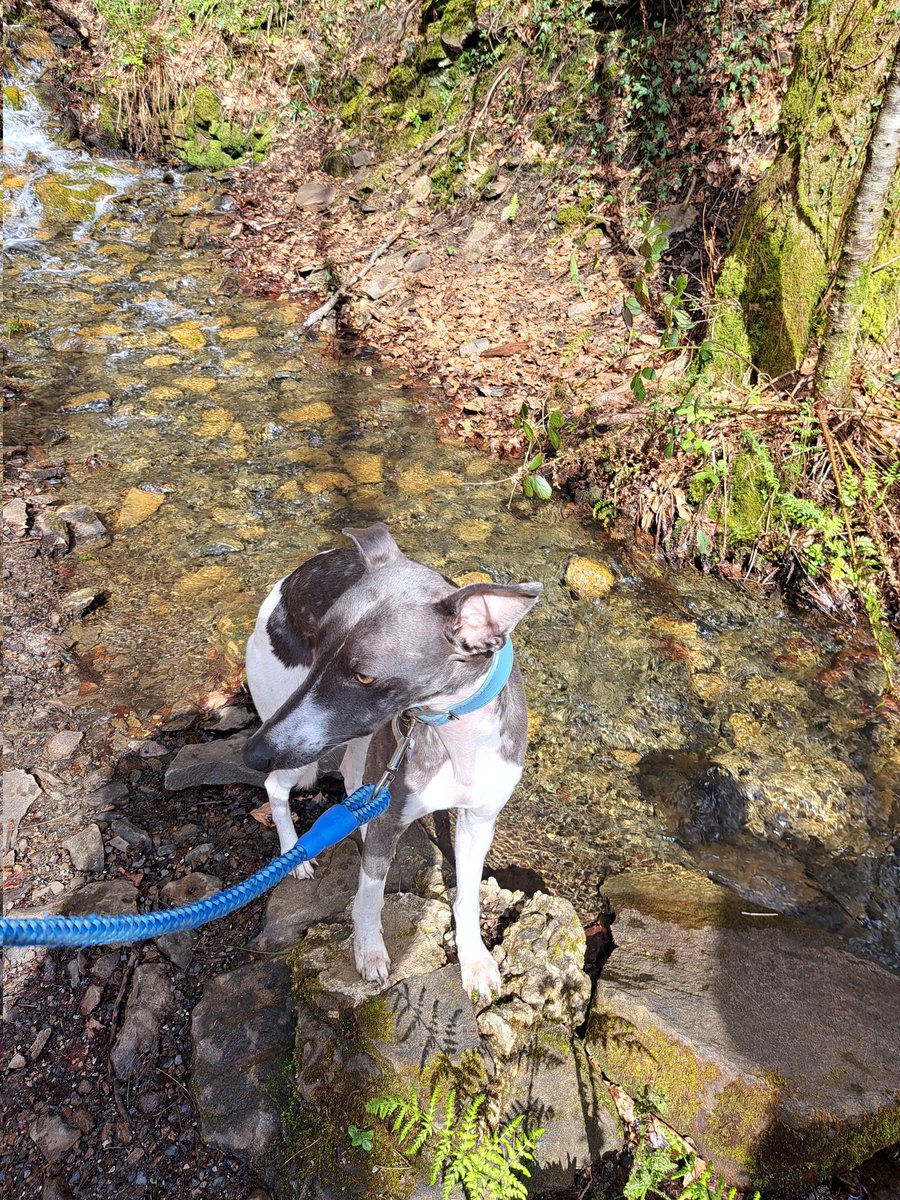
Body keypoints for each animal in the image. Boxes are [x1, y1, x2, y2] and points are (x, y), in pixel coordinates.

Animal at [243, 525, 542, 1003]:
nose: (251, 753)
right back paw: (295, 852)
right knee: (277, 786)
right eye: (319, 646)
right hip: (303, 732)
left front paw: (475, 960)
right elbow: (368, 896)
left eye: (364, 675)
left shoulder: (478, 820)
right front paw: (368, 951)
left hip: (357, 734)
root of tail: (290, 580)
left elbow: (468, 896)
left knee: (352, 777)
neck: (453, 733)